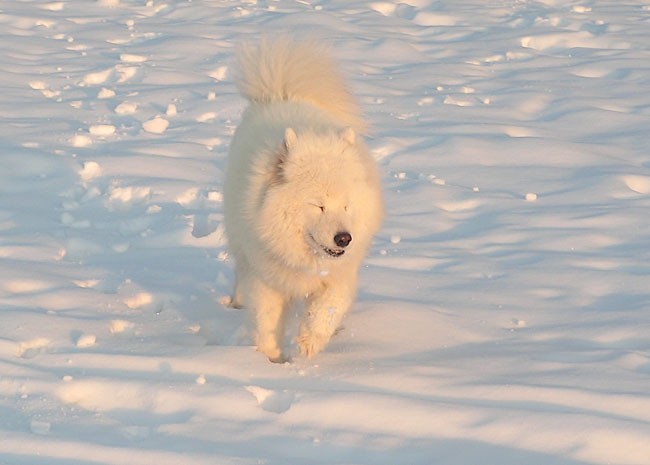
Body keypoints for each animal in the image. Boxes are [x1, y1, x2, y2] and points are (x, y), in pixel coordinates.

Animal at [224, 37, 384, 362]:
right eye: (318, 205)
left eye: (346, 205)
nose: (344, 238)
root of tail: (282, 95)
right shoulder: (266, 278)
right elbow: (266, 320)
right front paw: (271, 357)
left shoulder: (339, 275)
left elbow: (326, 310)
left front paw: (309, 343)